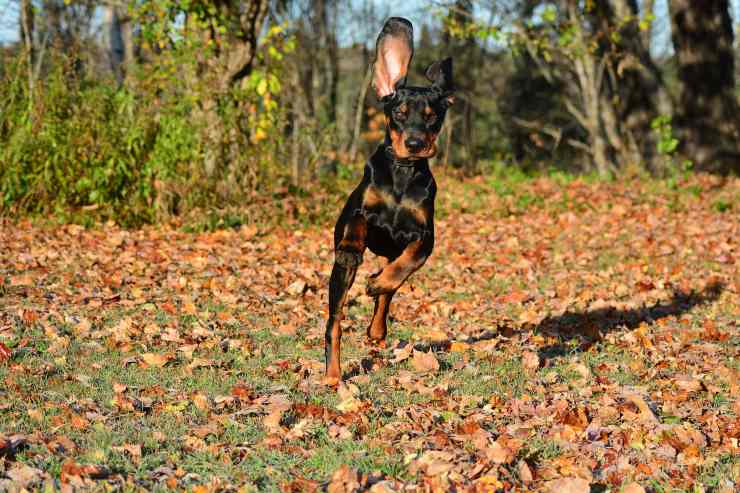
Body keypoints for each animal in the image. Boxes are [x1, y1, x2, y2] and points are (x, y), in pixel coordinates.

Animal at [322, 16, 450, 384]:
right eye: (400, 113)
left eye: (432, 115)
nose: (415, 143)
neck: (402, 174)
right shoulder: (361, 207)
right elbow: (357, 223)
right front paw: (352, 248)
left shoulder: (425, 236)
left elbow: (404, 267)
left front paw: (377, 284)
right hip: (339, 280)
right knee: (335, 321)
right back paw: (333, 373)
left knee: (387, 292)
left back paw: (377, 323)